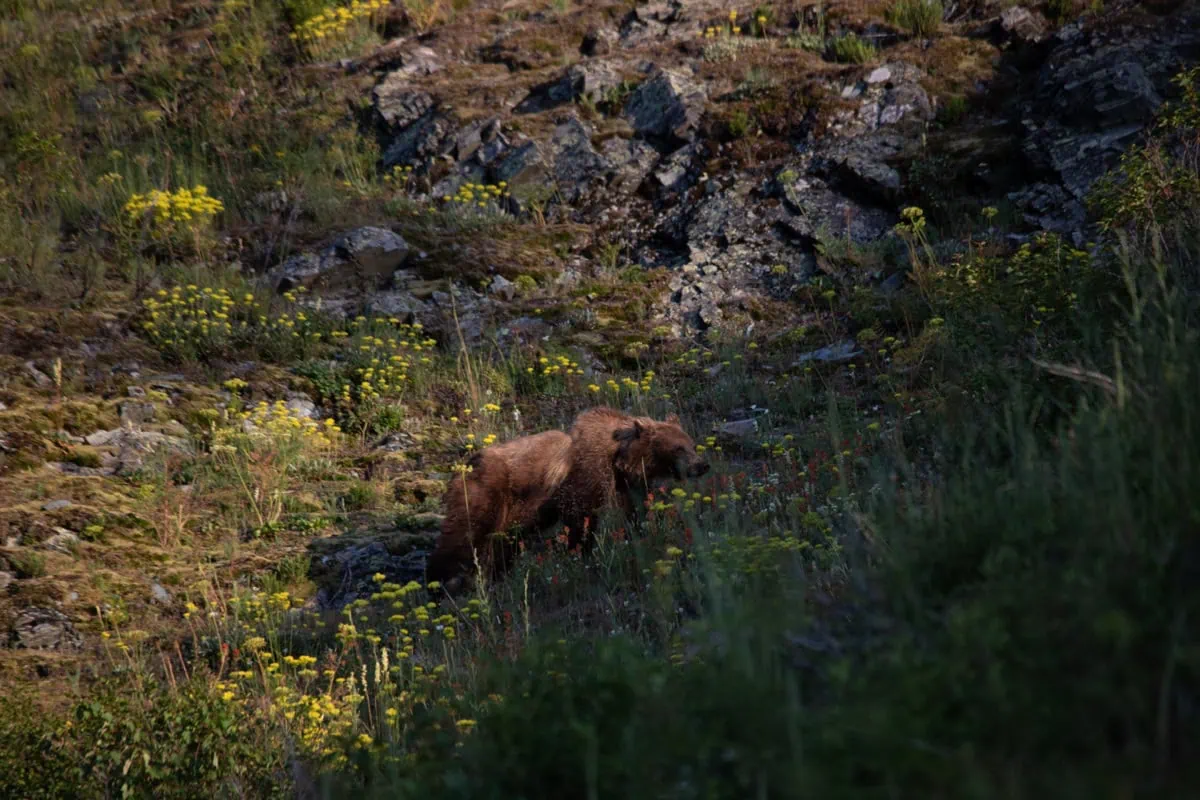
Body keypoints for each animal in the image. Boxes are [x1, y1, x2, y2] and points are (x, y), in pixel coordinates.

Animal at [552, 407, 710, 552]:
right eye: (678, 448)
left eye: (693, 445)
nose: (702, 465)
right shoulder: (590, 477)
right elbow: (581, 517)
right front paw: (581, 546)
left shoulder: (632, 486)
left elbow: (636, 510)